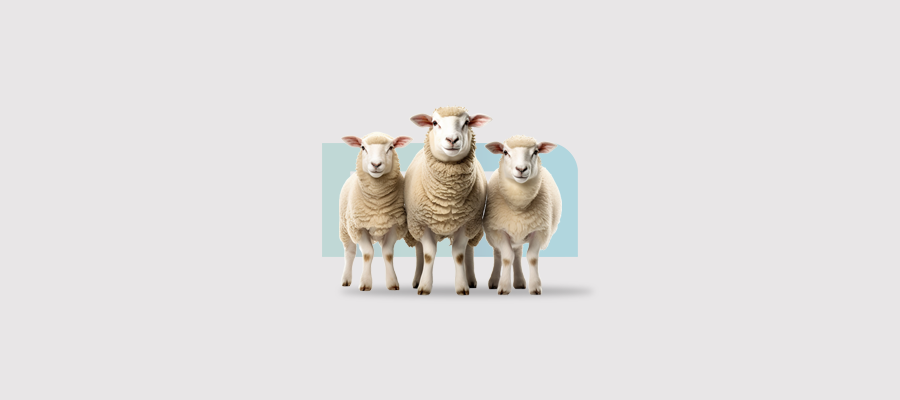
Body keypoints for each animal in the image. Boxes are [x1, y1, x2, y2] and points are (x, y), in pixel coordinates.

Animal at [338, 132, 413, 291]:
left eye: (391, 147)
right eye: (362, 147)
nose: (376, 164)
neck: (378, 202)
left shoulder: (394, 225)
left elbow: (387, 253)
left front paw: (392, 283)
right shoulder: (358, 227)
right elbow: (367, 254)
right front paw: (365, 283)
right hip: (345, 228)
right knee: (349, 252)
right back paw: (346, 279)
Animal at [403, 106, 492, 295]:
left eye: (467, 122)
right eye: (435, 123)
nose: (452, 139)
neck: (448, 197)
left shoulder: (467, 223)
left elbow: (459, 255)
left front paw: (462, 286)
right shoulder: (422, 223)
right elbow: (428, 255)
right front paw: (424, 286)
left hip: (474, 226)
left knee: (469, 249)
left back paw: (471, 279)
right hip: (414, 225)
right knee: (419, 250)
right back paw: (416, 279)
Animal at [483, 136, 562, 295]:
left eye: (536, 152)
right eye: (505, 152)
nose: (521, 169)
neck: (518, 207)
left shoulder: (539, 231)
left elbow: (531, 257)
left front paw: (535, 287)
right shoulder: (499, 230)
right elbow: (507, 257)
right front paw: (503, 287)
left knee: (518, 254)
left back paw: (519, 281)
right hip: (493, 235)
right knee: (498, 254)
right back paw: (494, 281)